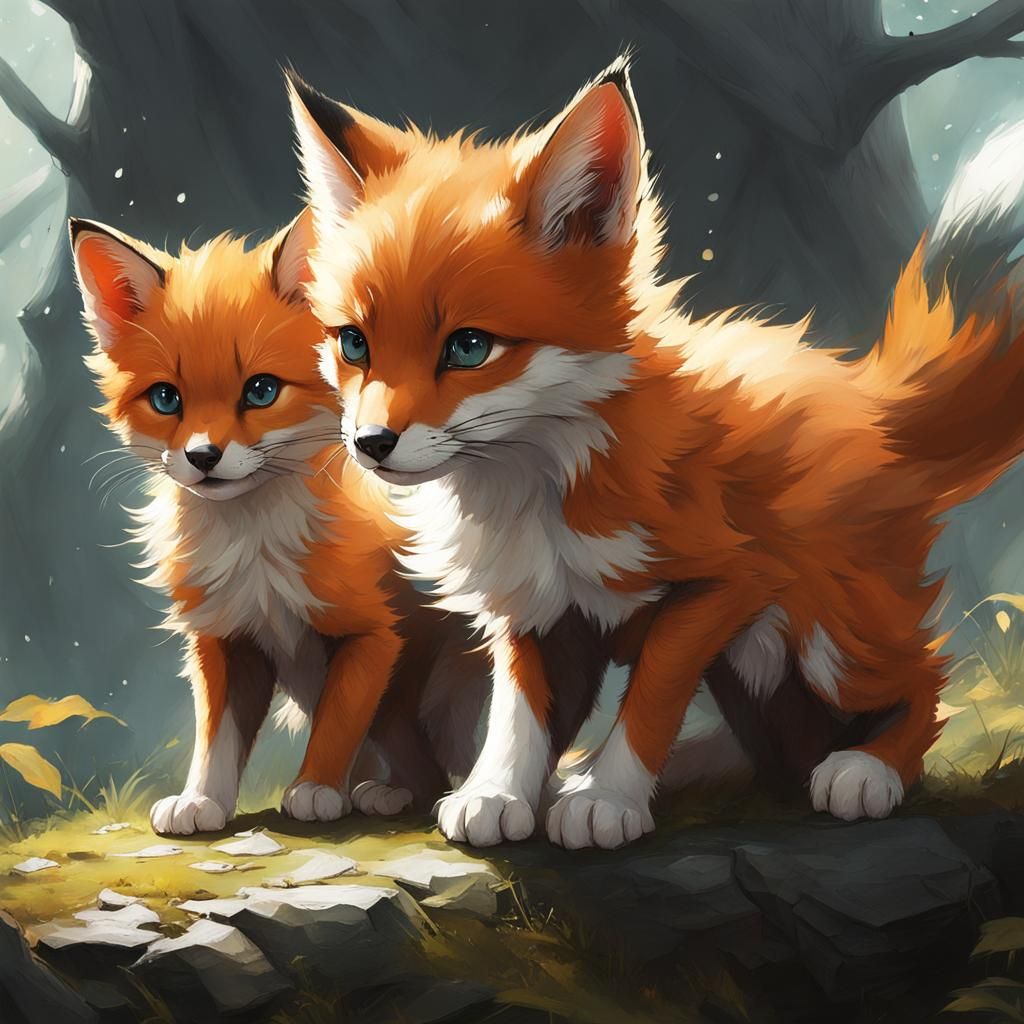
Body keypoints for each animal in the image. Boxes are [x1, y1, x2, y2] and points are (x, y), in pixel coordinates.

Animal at [69, 210, 489, 836]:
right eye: (167, 399)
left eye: (261, 390)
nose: (203, 456)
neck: (255, 549)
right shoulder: (224, 639)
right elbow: (215, 737)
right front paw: (201, 800)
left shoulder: (371, 635)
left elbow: (338, 723)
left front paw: (315, 788)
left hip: (424, 688)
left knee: (433, 762)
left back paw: (393, 793)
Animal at [283, 58, 1024, 850]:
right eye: (353, 343)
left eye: (469, 347)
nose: (371, 445)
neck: (544, 487)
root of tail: (869, 395)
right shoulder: (537, 611)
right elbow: (519, 717)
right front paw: (498, 793)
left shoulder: (720, 583)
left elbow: (650, 702)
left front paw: (607, 799)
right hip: (759, 668)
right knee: (779, 751)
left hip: (829, 637)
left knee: (924, 682)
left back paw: (869, 769)